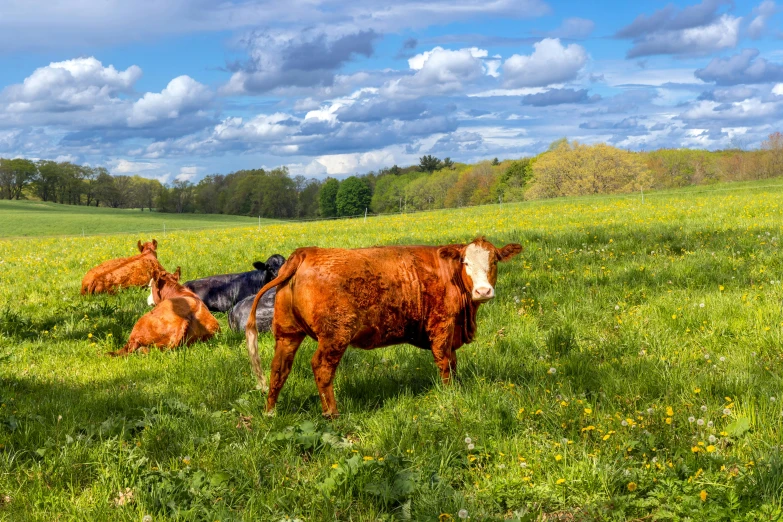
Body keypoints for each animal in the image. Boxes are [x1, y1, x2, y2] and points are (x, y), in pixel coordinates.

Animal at [248, 236, 524, 414]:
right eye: (465, 262)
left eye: (495, 261)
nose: (483, 291)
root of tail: (306, 252)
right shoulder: (442, 325)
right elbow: (445, 362)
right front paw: (451, 394)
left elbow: (454, 364)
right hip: (335, 336)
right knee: (321, 368)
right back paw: (332, 414)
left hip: (287, 334)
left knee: (279, 369)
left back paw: (270, 412)